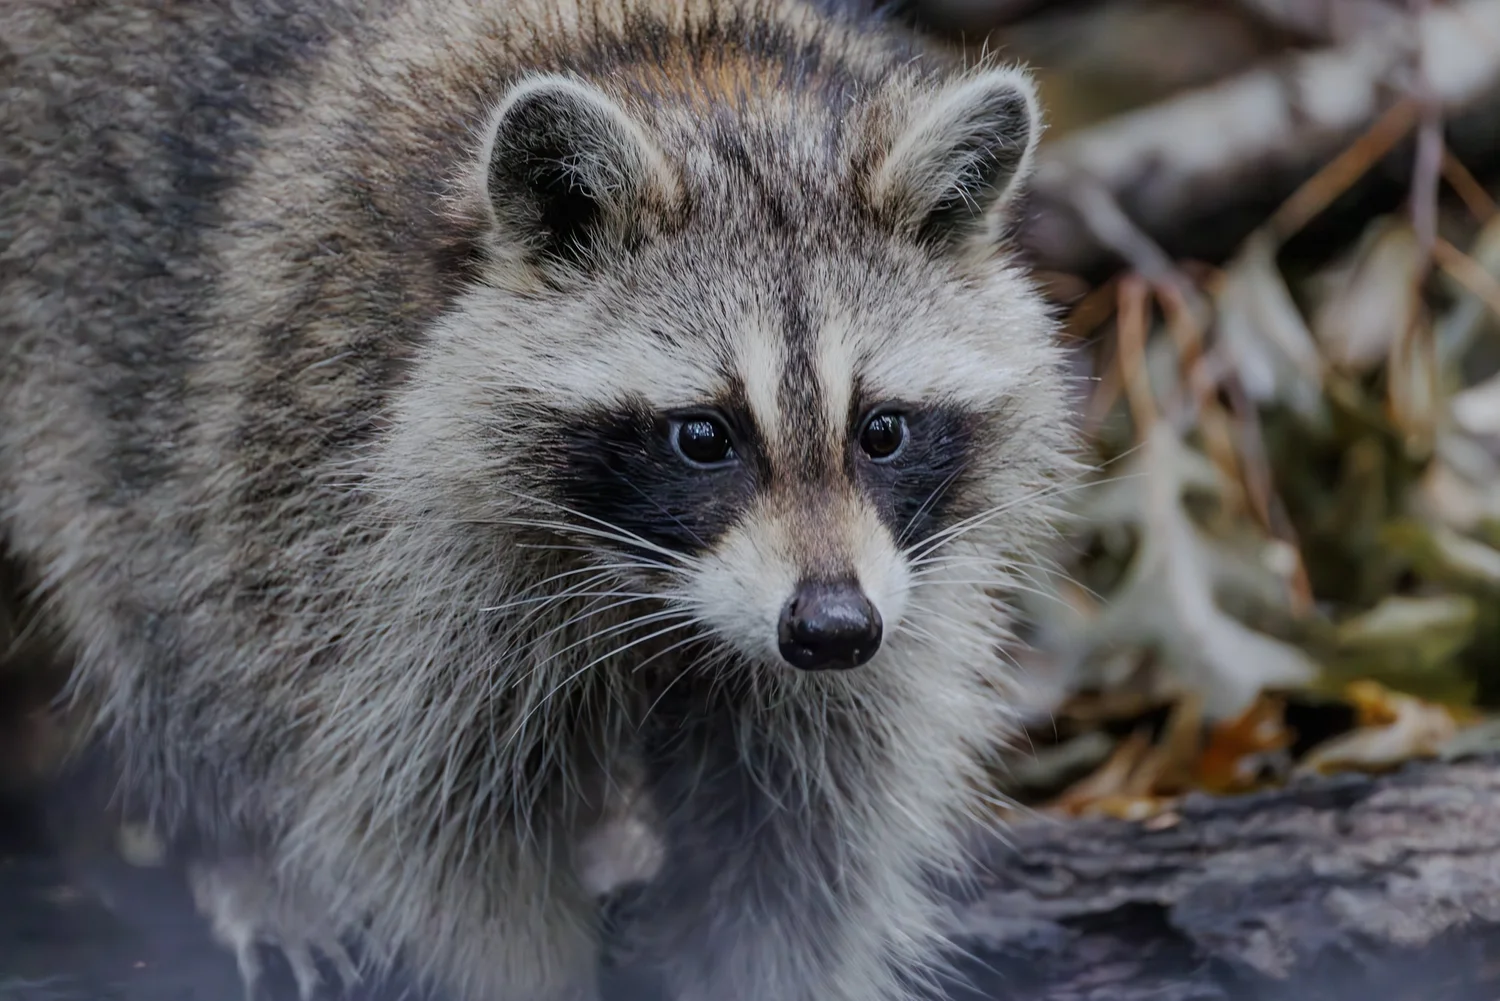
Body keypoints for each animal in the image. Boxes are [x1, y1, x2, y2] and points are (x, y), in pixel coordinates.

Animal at [0, 0, 1076, 999]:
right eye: (703, 436)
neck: (718, 93)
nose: (831, 628)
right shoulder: (367, 531)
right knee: (161, 578)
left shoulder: (890, 601)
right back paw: (238, 850)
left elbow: (798, 851)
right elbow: (452, 845)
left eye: (882, 429)